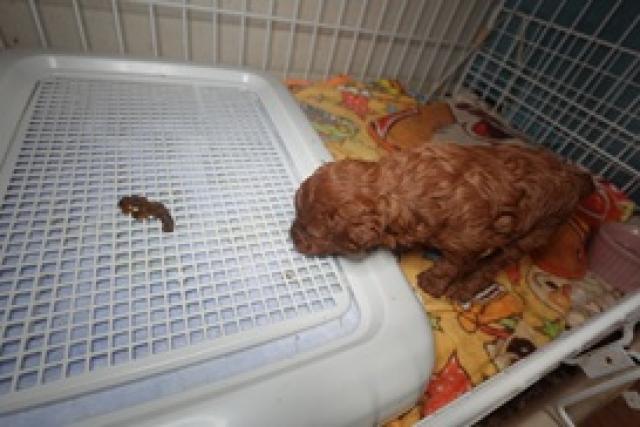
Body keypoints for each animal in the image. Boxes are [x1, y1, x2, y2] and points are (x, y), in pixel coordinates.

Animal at [290, 141, 594, 301]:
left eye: (310, 231)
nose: (291, 237)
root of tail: (575, 177)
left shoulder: (468, 242)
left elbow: (451, 265)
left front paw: (432, 284)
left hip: (536, 231)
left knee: (497, 261)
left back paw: (464, 289)